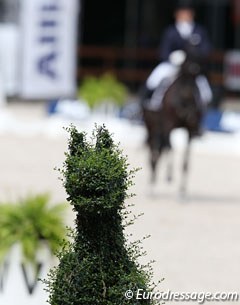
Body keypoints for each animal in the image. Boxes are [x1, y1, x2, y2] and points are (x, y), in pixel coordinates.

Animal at [142, 53, 204, 194]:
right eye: (184, 78)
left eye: (196, 78)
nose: (189, 111)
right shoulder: (168, 126)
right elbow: (170, 148)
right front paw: (169, 176)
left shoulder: (190, 130)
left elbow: (186, 160)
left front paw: (182, 190)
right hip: (151, 127)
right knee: (153, 151)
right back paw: (151, 185)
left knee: (158, 151)